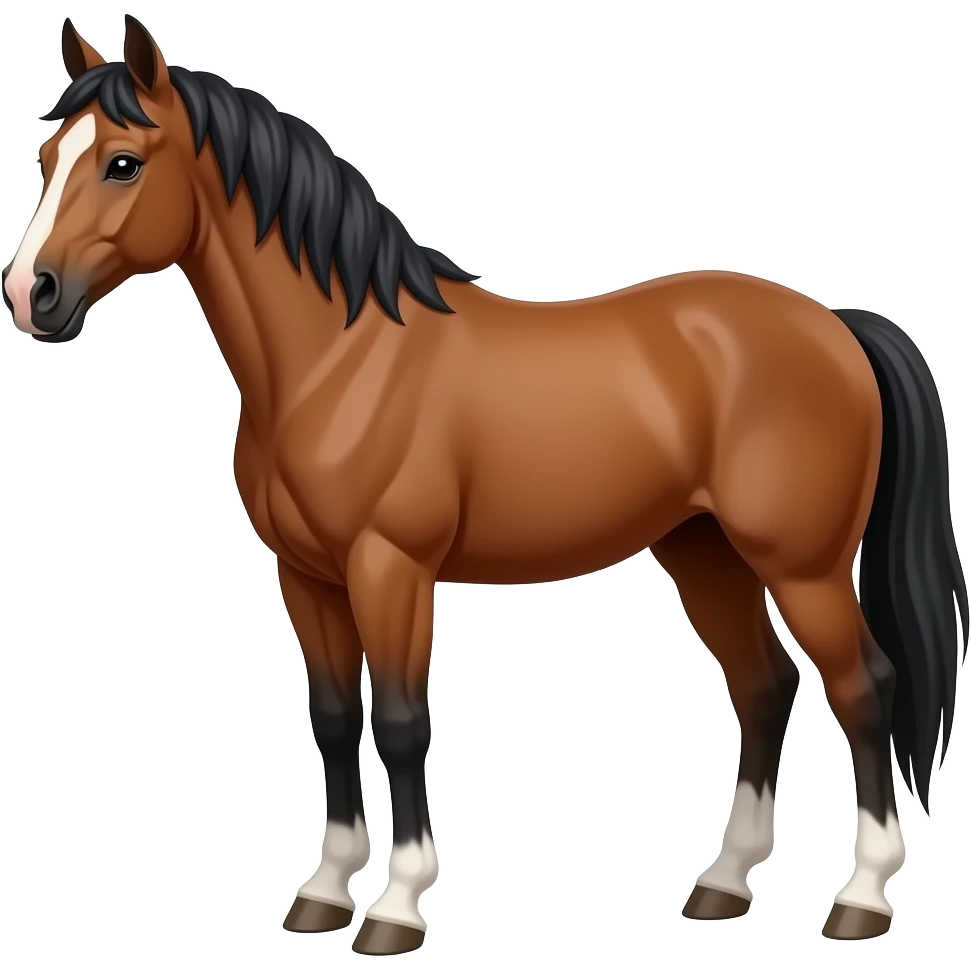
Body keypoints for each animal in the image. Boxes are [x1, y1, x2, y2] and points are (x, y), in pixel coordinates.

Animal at [3, 15, 966, 953]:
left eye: (123, 162)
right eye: (46, 159)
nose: (28, 293)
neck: (340, 359)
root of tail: (832, 324)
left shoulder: (389, 567)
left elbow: (398, 719)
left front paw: (395, 906)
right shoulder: (305, 575)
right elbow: (332, 717)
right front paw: (323, 892)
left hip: (801, 565)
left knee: (862, 687)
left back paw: (860, 898)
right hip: (704, 552)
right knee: (763, 683)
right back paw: (724, 882)